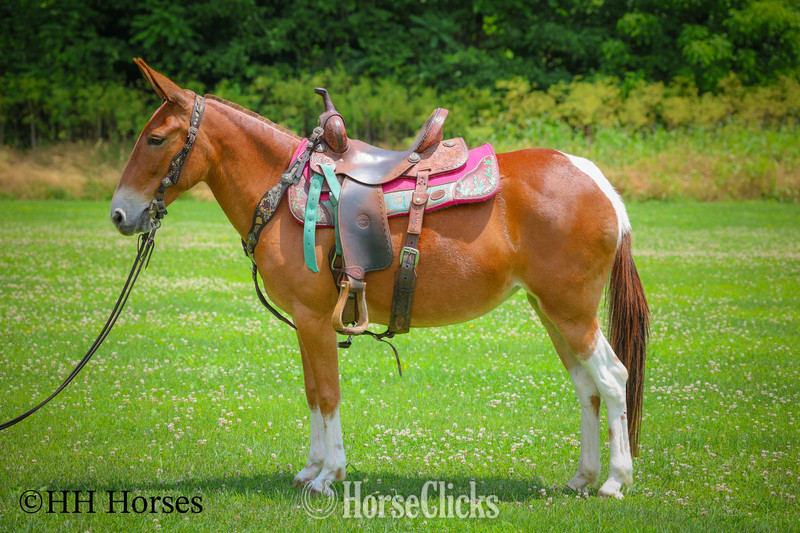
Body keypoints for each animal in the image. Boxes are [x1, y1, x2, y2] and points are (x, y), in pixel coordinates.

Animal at [111, 59, 649, 499]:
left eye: (155, 139)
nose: (119, 213)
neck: (284, 190)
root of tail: (597, 182)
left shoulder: (314, 318)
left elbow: (328, 393)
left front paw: (329, 476)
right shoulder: (308, 323)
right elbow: (313, 391)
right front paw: (310, 470)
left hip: (572, 312)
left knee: (612, 377)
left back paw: (615, 481)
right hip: (550, 310)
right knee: (586, 385)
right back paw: (582, 478)